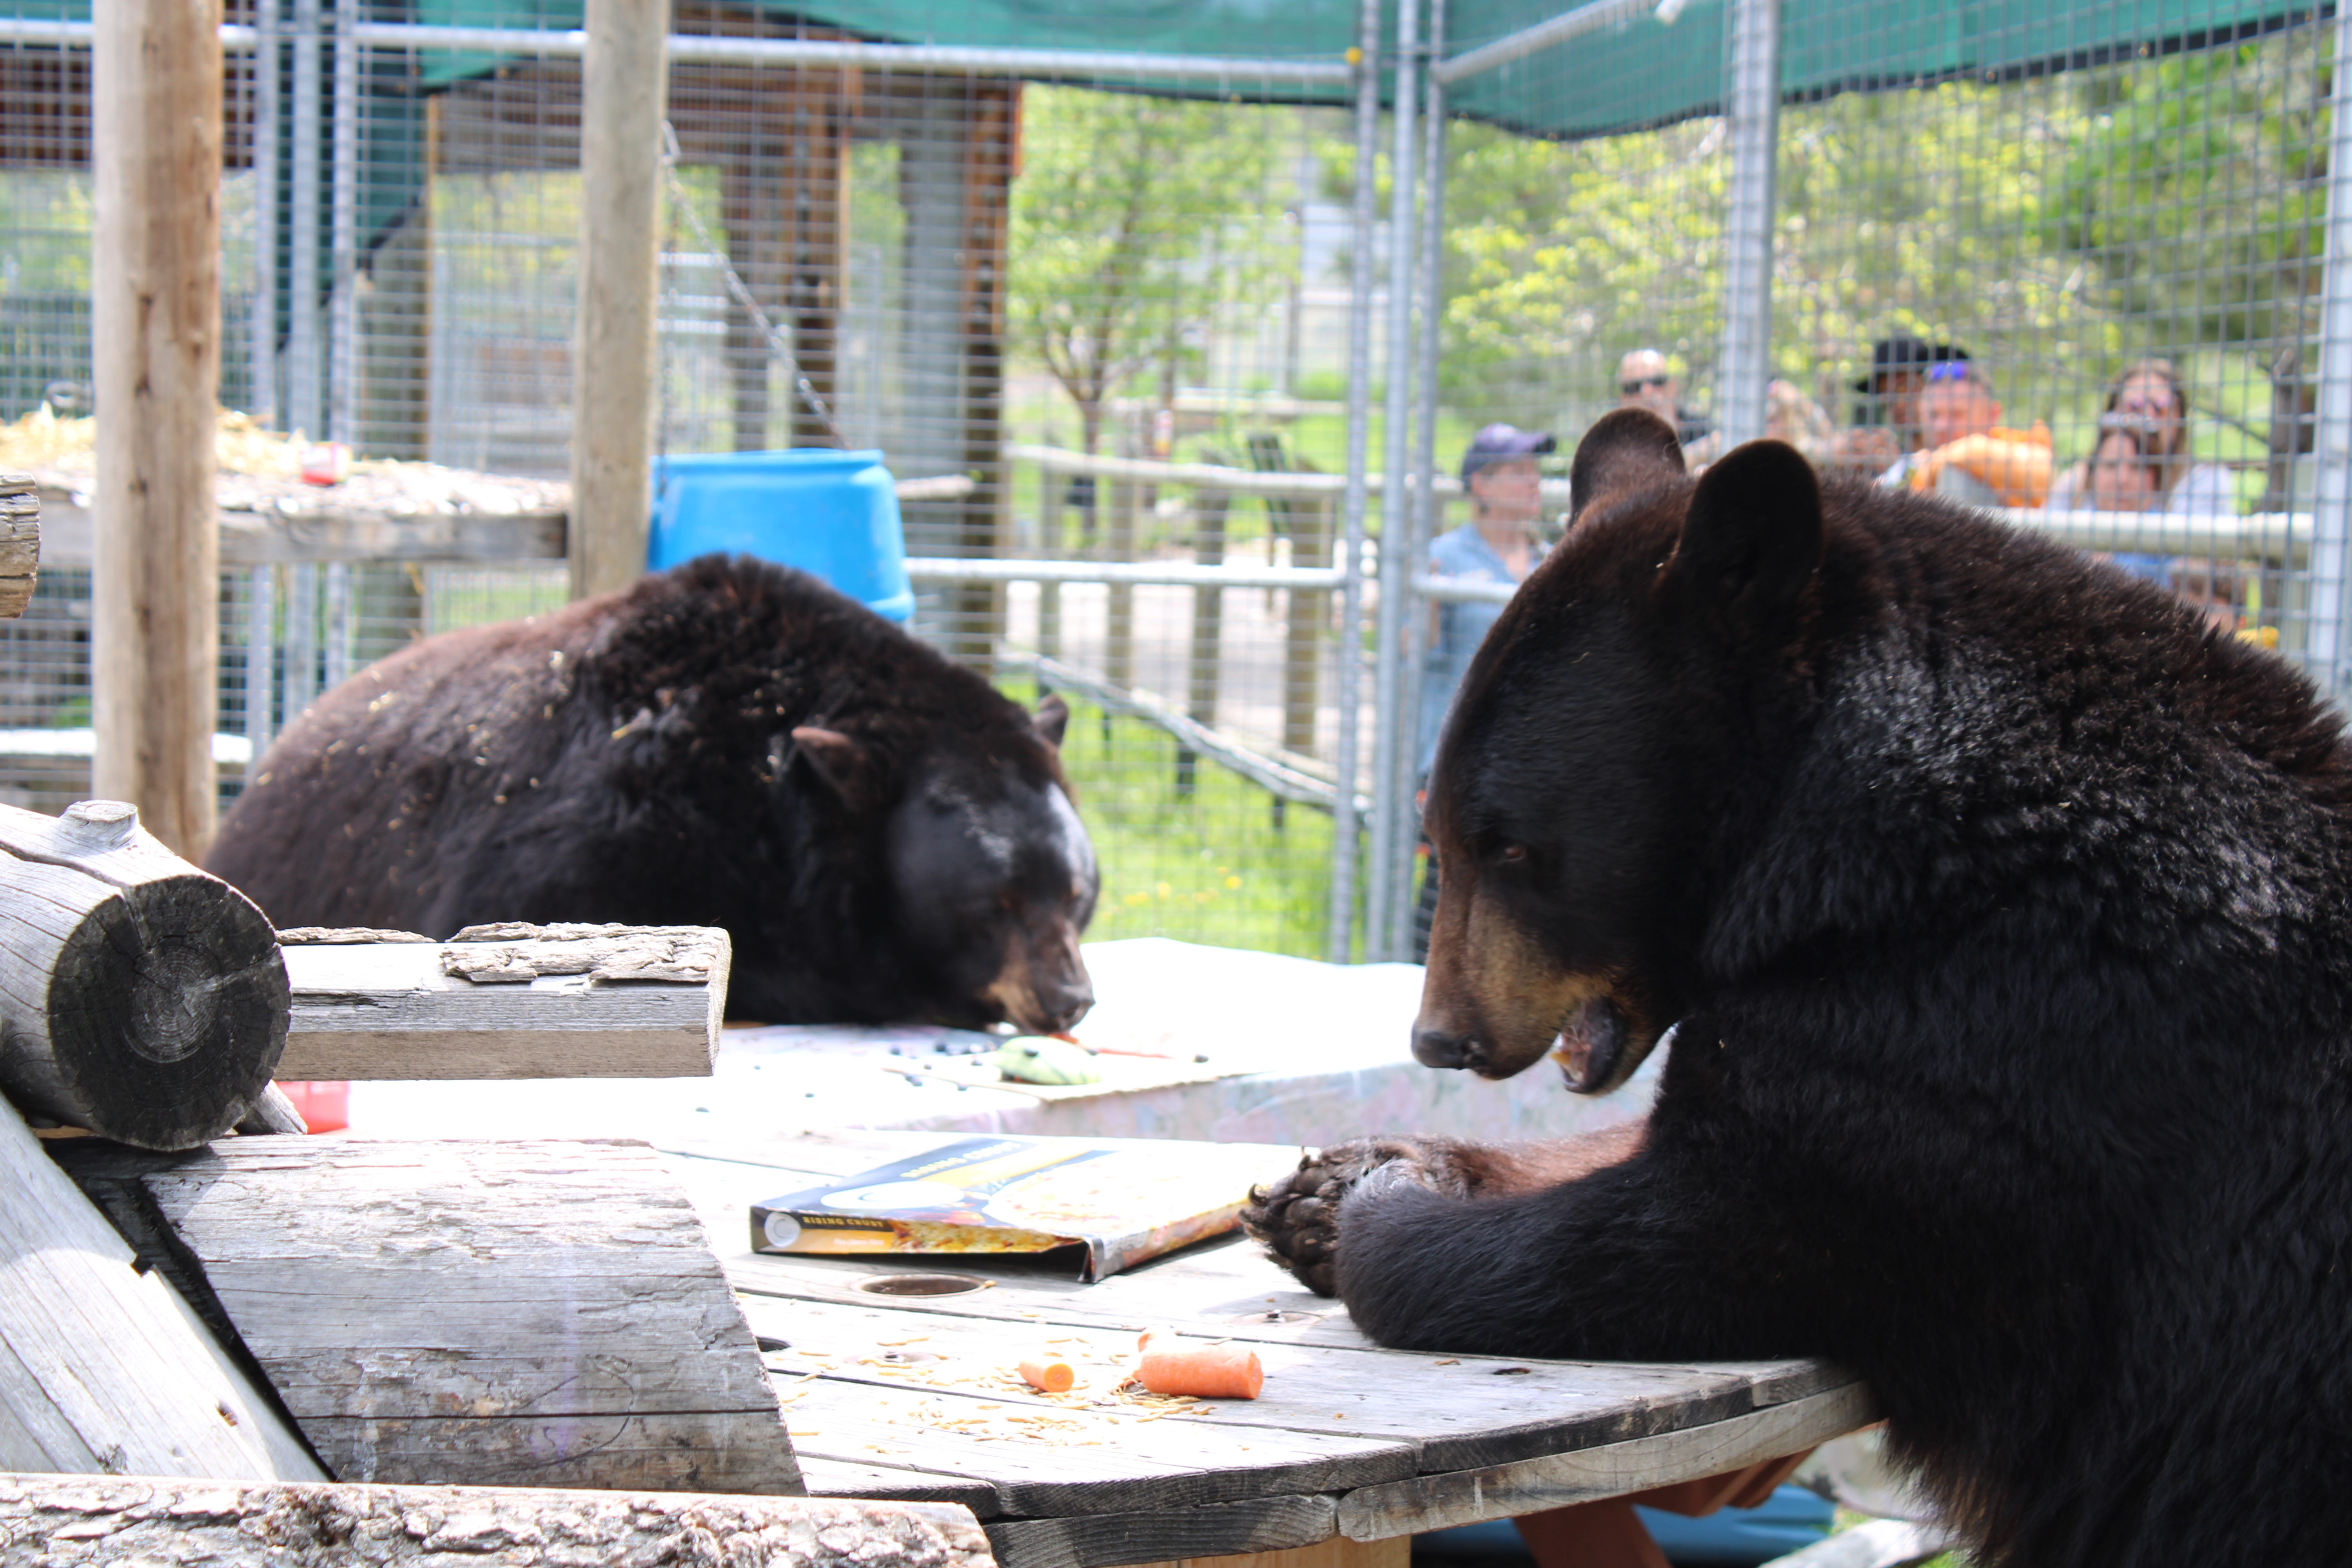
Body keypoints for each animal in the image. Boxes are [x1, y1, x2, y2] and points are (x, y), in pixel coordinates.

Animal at [1242, 410, 2352, 1568]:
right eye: (1441, 829)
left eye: (1507, 846)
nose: (1440, 1039)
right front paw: (1329, 1187)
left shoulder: (1997, 1063)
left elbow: (1680, 1230)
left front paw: (1379, 1212)